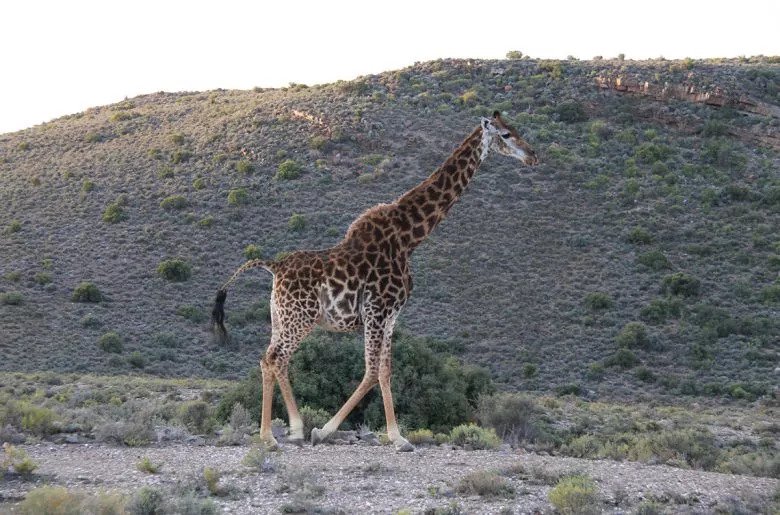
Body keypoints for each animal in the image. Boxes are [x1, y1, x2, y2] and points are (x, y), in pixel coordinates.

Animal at [211, 111, 538, 451]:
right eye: (506, 134)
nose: (532, 156)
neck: (408, 239)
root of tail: (274, 267)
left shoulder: (392, 315)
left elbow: (385, 371)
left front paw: (397, 436)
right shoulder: (377, 310)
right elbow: (370, 372)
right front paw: (324, 431)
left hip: (281, 318)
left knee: (272, 360)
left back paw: (287, 430)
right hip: (299, 318)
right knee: (275, 359)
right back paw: (275, 435)